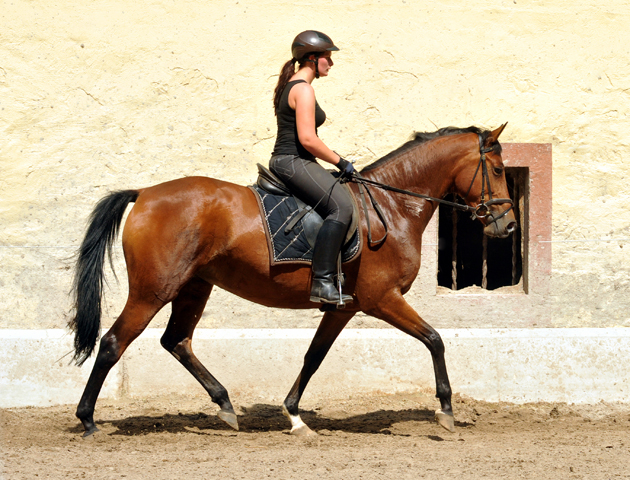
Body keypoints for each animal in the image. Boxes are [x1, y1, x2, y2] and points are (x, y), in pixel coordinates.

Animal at [71, 123, 520, 436]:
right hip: (153, 290)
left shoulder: (344, 307)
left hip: (194, 286)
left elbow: (313, 357)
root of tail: (145, 193)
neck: (392, 206)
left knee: (176, 341)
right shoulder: (382, 299)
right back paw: (88, 419)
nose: (509, 225)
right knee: (113, 342)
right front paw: (445, 410)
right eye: (498, 169)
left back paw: (225, 406)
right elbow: (434, 339)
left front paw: (295, 416)